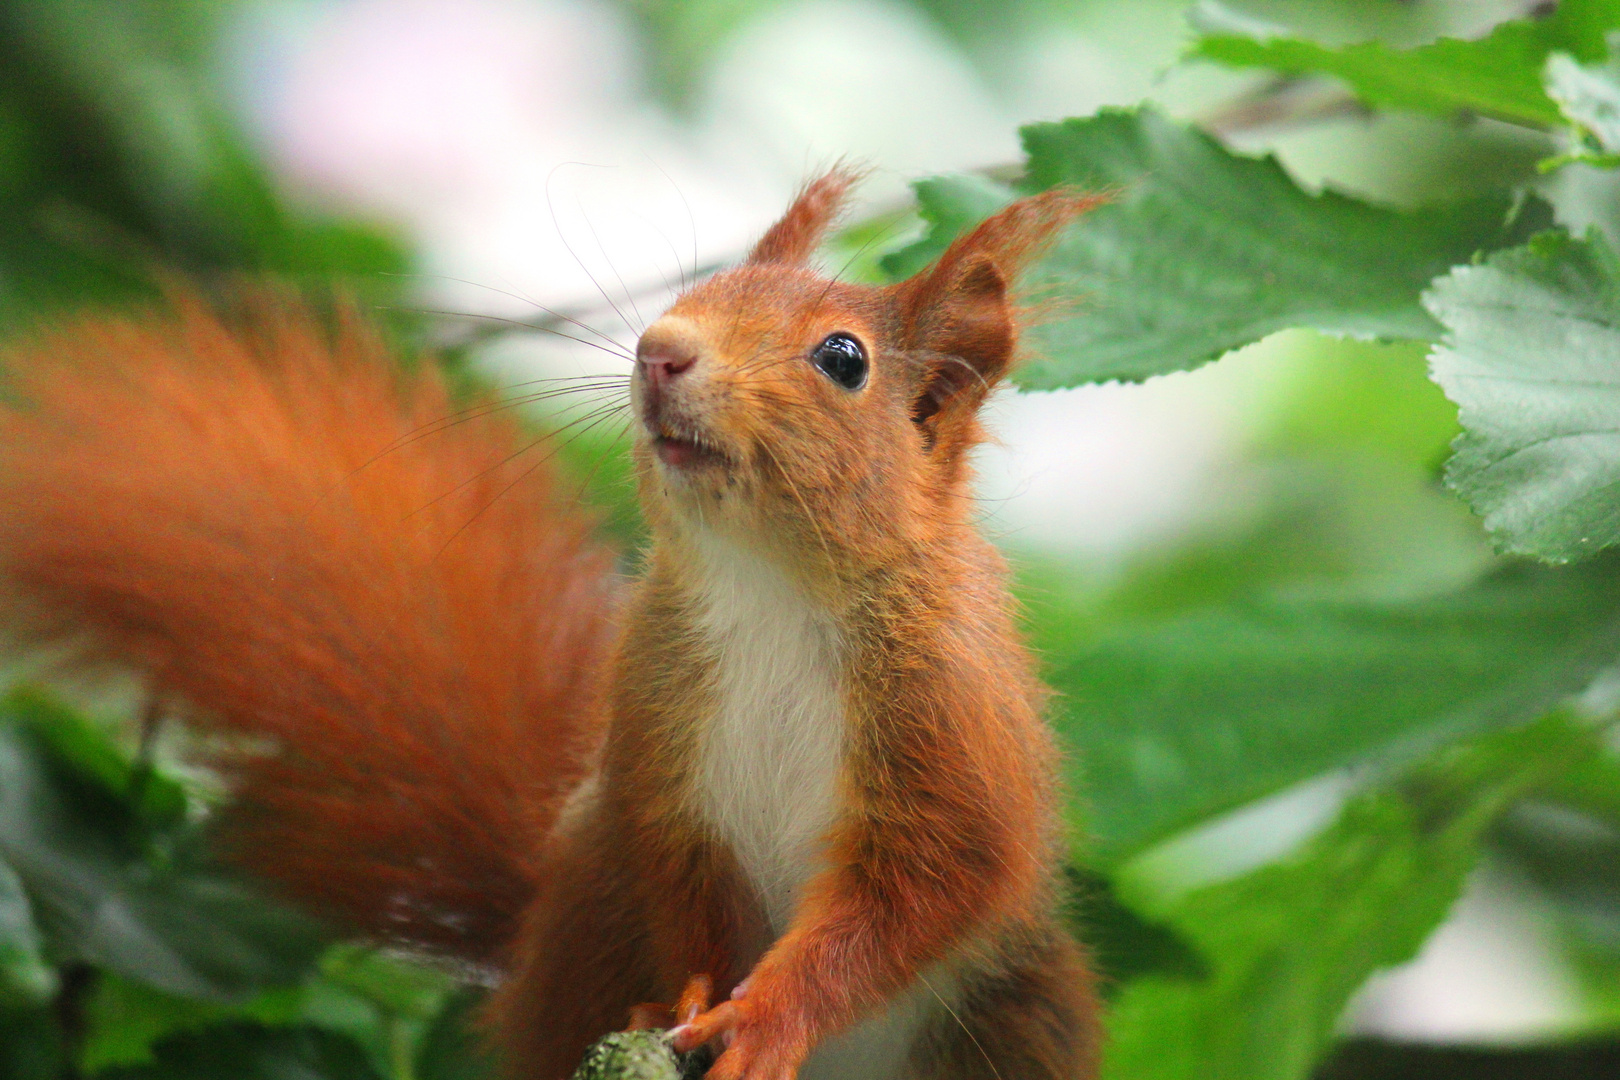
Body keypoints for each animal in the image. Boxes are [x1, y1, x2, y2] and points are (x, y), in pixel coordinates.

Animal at [0, 170, 1101, 1080]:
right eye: (703, 287)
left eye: (844, 358)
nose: (661, 350)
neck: (770, 586)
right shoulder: (660, 731)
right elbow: (684, 885)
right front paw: (690, 996)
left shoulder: (945, 730)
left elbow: (918, 896)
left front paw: (768, 1016)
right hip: (588, 918)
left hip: (1016, 1020)